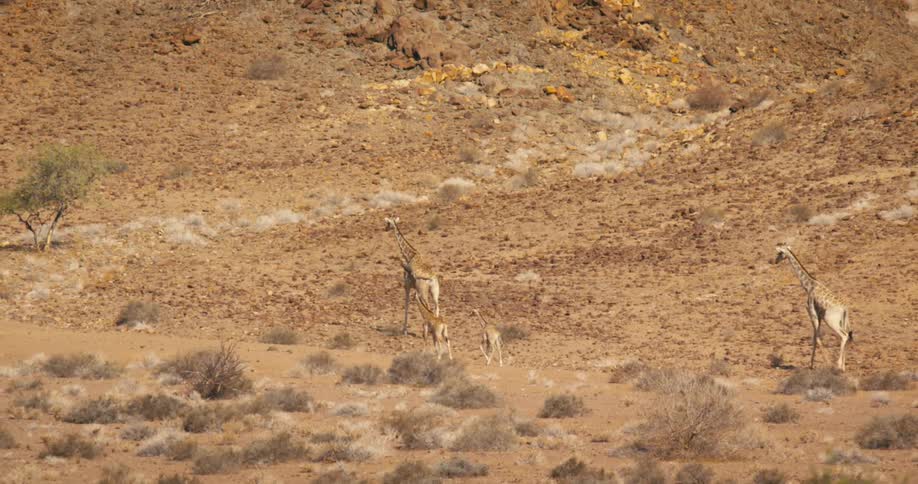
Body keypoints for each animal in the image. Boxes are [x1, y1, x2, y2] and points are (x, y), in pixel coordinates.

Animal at [774, 243, 853, 371]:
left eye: (780, 253)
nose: (775, 261)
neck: (809, 286)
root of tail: (844, 309)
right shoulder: (819, 315)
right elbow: (815, 337)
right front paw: (811, 365)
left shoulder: (812, 312)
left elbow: (816, 338)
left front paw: (825, 363)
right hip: (843, 322)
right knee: (848, 337)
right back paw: (844, 367)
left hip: (831, 321)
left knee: (844, 336)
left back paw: (838, 365)